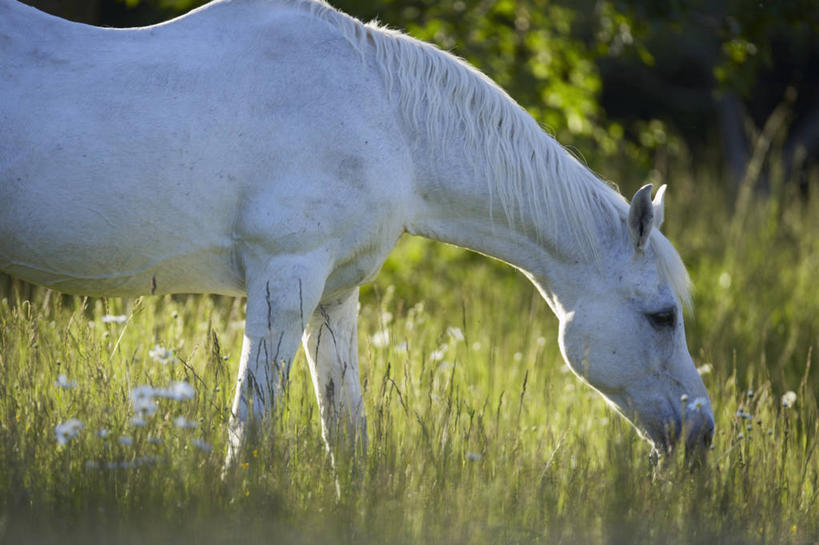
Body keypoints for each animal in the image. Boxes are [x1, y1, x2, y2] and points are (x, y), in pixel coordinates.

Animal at [0, 0, 716, 464]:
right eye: (662, 317)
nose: (702, 434)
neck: (386, 116)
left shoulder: (332, 298)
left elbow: (346, 437)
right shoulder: (283, 283)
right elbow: (249, 435)